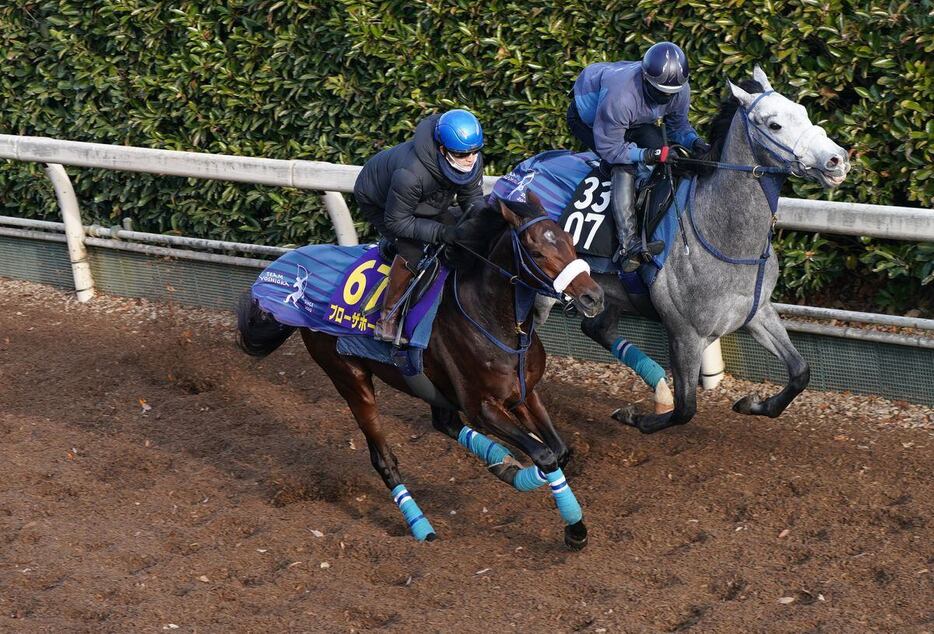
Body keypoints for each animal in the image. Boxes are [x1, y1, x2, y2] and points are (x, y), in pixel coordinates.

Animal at [239, 195, 608, 544]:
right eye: (536, 251)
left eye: (569, 240)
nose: (593, 297)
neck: (493, 319)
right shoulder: (482, 407)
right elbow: (544, 455)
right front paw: (575, 530)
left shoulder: (524, 393)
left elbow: (559, 451)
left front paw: (567, 518)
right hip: (350, 377)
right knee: (385, 459)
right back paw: (422, 527)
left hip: (426, 382)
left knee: (445, 422)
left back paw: (502, 462)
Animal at [576, 66, 852, 432]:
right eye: (774, 125)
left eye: (804, 111)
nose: (838, 160)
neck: (724, 236)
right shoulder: (685, 333)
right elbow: (685, 409)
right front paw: (637, 416)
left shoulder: (756, 311)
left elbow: (800, 372)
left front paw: (752, 403)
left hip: (610, 293)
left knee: (597, 328)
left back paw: (658, 387)